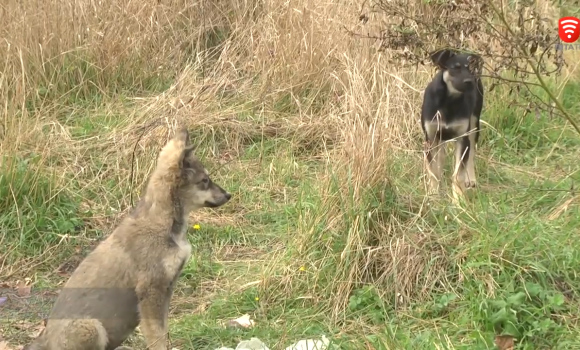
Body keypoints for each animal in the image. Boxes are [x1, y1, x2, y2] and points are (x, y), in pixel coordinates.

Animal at [24, 129, 233, 350]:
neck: (163, 224)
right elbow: (157, 337)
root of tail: (43, 341)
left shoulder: (166, 289)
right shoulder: (150, 292)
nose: (229, 195)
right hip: (91, 328)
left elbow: (164, 332)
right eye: (204, 180)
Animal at [422, 47, 484, 198]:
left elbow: (458, 175)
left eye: (470, 69)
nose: (470, 81)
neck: (449, 102)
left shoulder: (462, 138)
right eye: (455, 68)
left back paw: (471, 179)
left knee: (471, 152)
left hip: (474, 125)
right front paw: (433, 194)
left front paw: (458, 199)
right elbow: (433, 171)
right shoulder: (430, 138)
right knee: (440, 157)